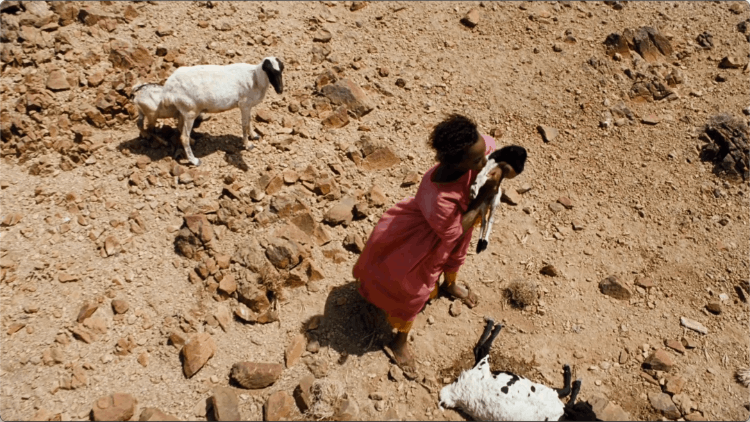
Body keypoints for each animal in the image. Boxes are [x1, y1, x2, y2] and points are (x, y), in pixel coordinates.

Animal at [438, 318, 584, 420]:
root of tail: (454, 392)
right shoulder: (549, 393)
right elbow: (567, 392)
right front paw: (574, 379)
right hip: (483, 369)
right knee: (483, 348)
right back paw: (495, 326)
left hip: (478, 372)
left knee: (479, 349)